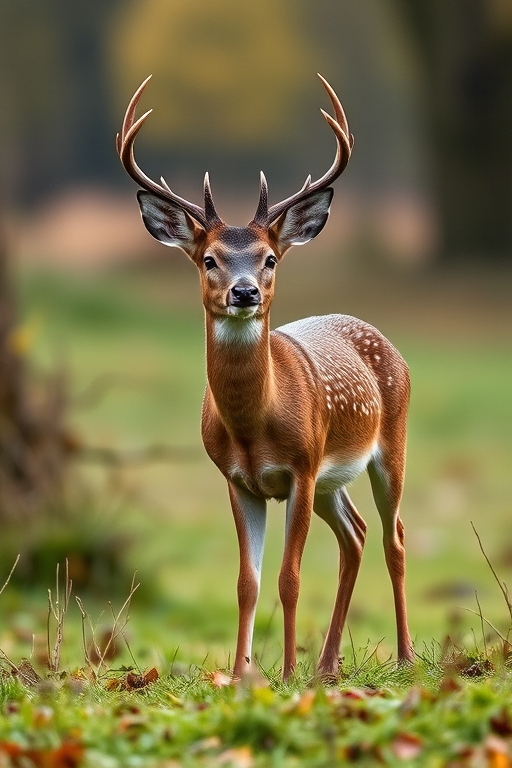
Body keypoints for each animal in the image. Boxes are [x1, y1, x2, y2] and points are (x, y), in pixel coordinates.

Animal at [117, 74, 414, 681]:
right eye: (209, 258)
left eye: (270, 258)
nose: (245, 290)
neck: (256, 427)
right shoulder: (239, 480)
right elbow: (246, 583)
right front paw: (241, 674)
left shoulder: (300, 466)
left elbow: (289, 578)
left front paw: (285, 674)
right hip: (331, 480)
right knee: (356, 537)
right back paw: (328, 665)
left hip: (385, 448)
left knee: (394, 537)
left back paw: (402, 656)